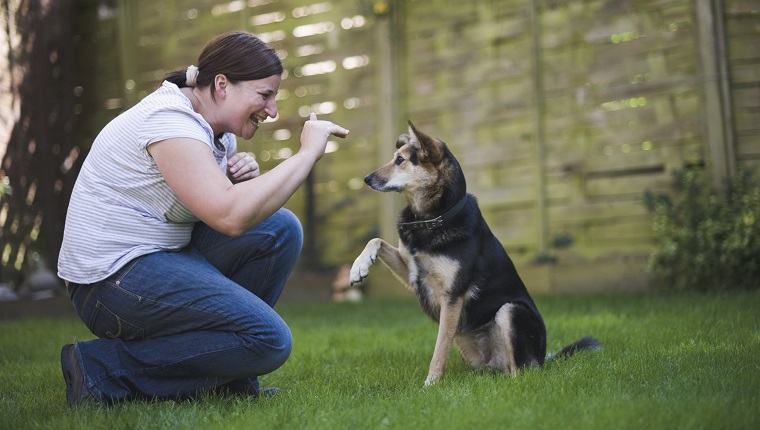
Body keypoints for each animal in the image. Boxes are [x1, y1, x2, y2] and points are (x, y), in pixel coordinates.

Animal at [348, 122, 604, 386]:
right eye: (394, 157)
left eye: (400, 160)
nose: (366, 179)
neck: (435, 219)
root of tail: (543, 357)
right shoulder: (412, 271)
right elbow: (375, 240)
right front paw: (359, 267)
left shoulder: (452, 297)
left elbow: (440, 347)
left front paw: (431, 383)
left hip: (511, 311)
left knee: (520, 372)